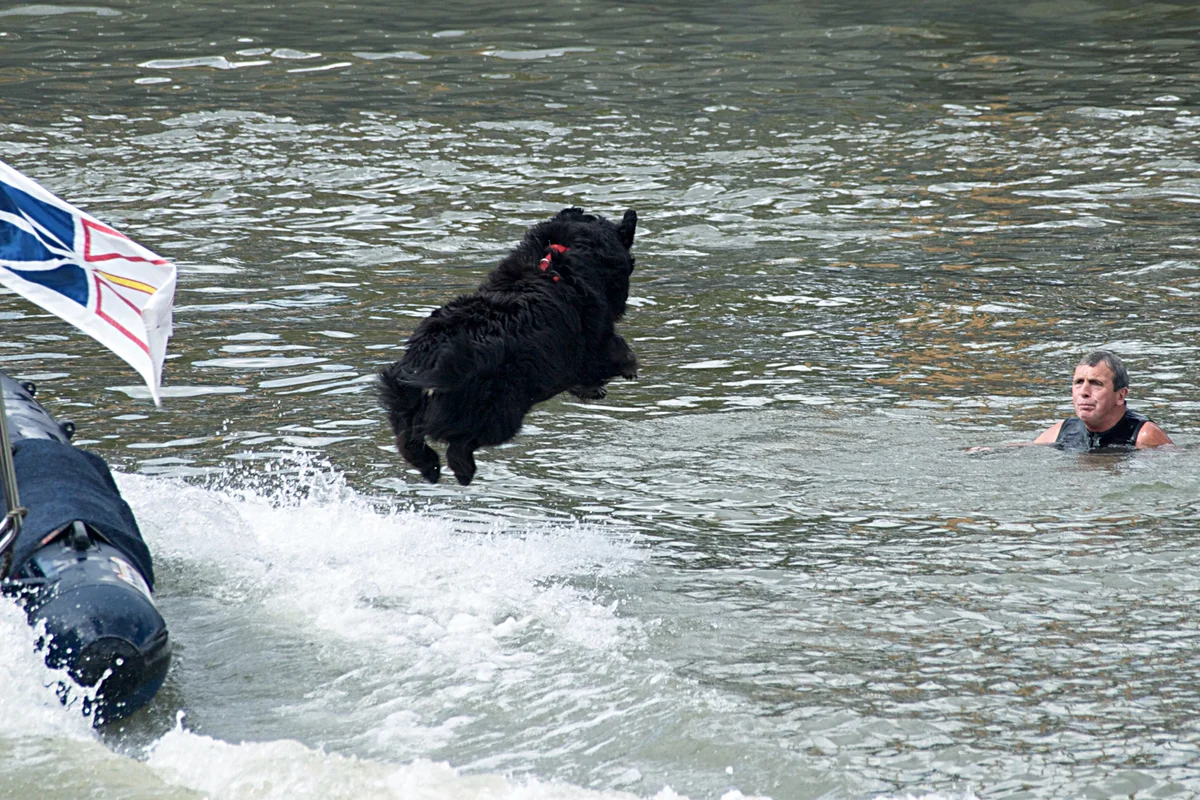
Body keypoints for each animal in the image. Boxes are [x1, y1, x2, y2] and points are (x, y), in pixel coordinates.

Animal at [376, 206, 638, 484]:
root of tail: (432, 357)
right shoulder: (592, 341)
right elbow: (612, 353)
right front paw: (624, 371)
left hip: (404, 397)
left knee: (408, 437)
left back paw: (430, 467)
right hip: (501, 409)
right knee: (460, 445)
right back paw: (463, 471)